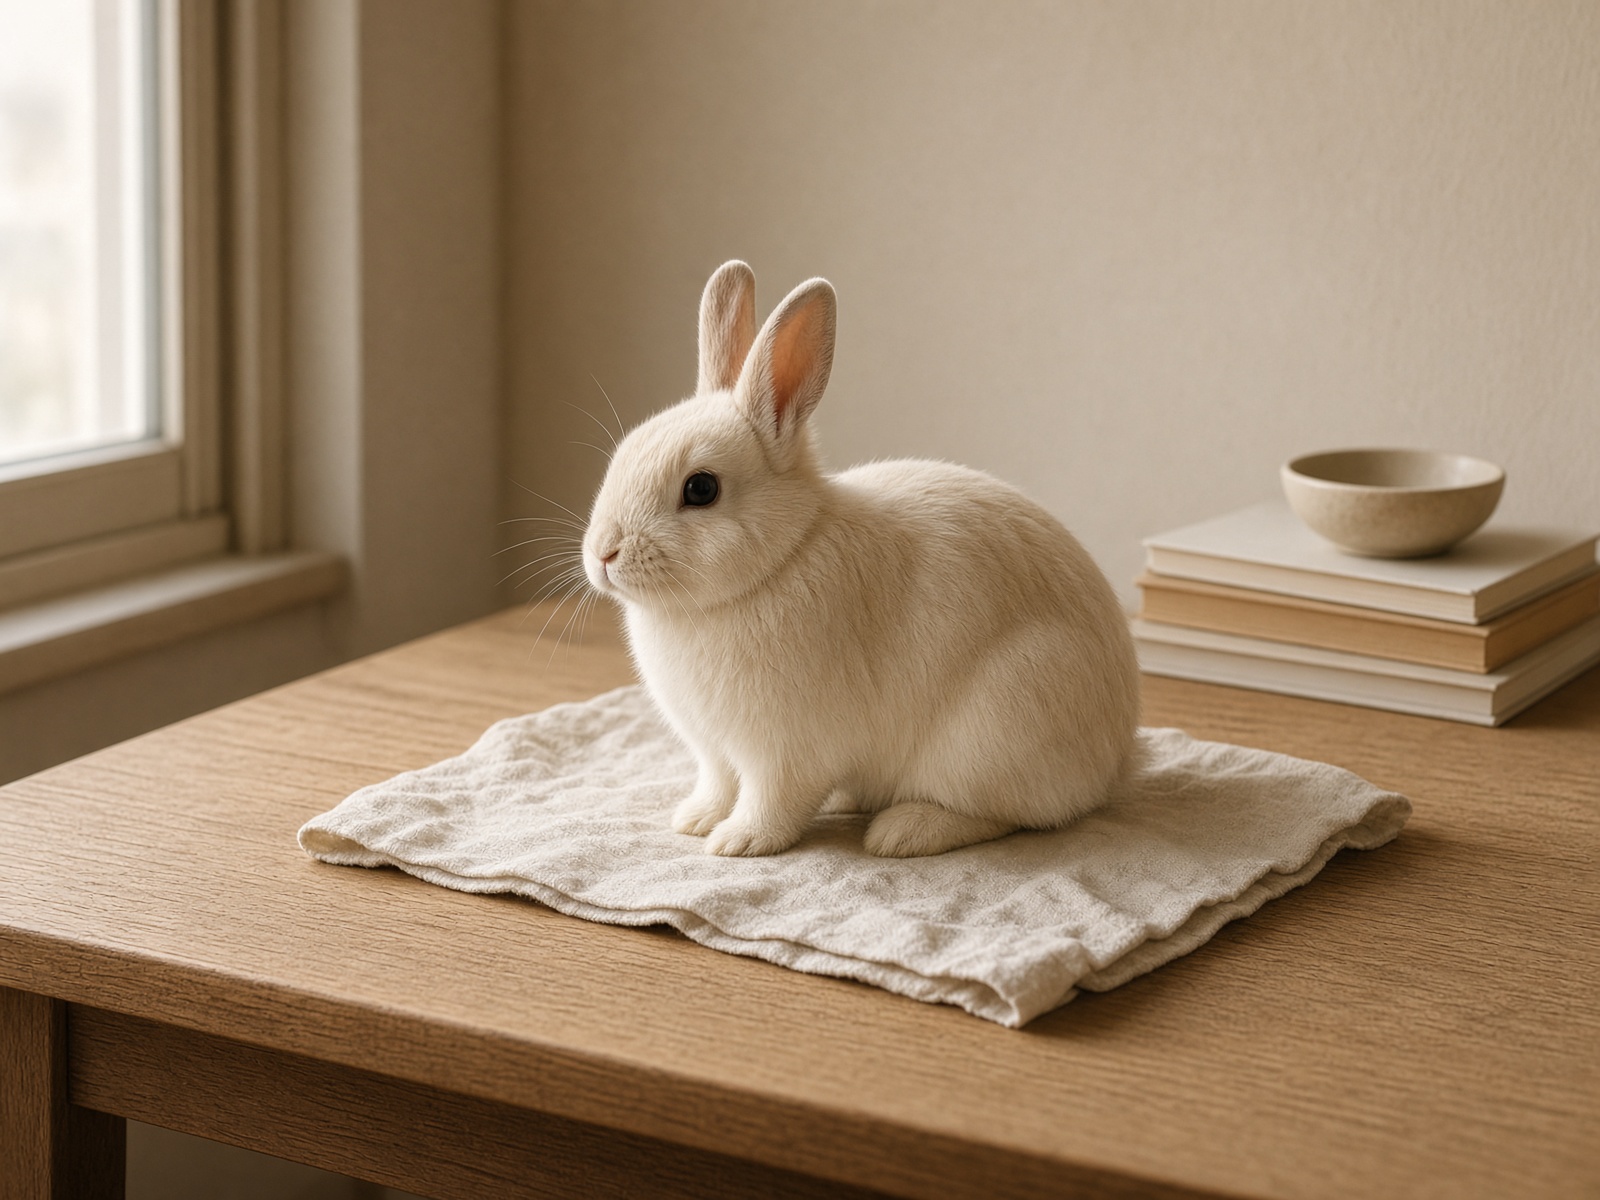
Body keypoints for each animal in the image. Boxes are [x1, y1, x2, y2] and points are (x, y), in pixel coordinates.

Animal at [581, 261, 1141, 858]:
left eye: (701, 488)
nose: (603, 554)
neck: (781, 559)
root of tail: (1115, 761)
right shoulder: (713, 750)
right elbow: (717, 784)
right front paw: (694, 820)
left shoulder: (784, 751)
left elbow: (771, 800)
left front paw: (739, 842)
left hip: (993, 733)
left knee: (1012, 815)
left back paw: (902, 831)